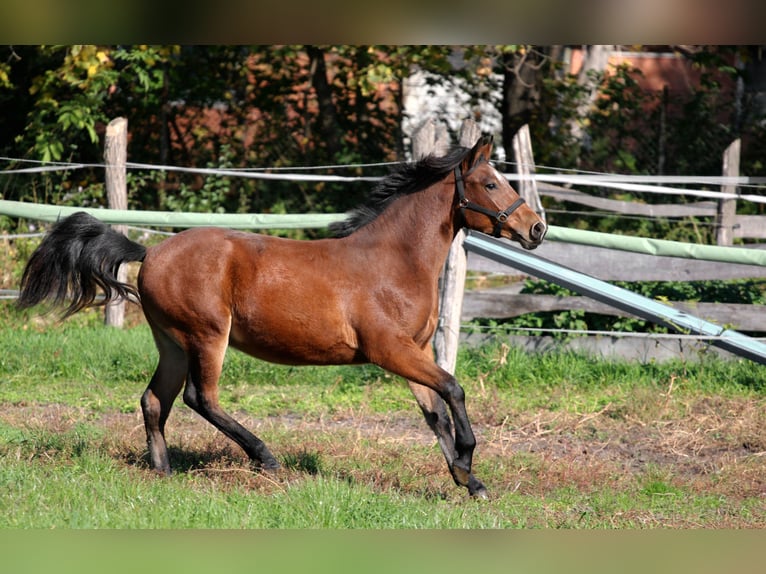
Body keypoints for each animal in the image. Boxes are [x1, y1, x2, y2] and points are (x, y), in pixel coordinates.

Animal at [18, 136, 544, 500]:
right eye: (491, 183)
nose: (535, 228)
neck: (393, 261)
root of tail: (150, 252)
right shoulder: (389, 349)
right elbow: (453, 389)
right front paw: (469, 464)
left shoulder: (410, 351)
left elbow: (434, 413)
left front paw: (467, 479)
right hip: (206, 335)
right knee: (199, 397)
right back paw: (265, 458)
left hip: (171, 341)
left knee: (154, 399)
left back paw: (163, 471)